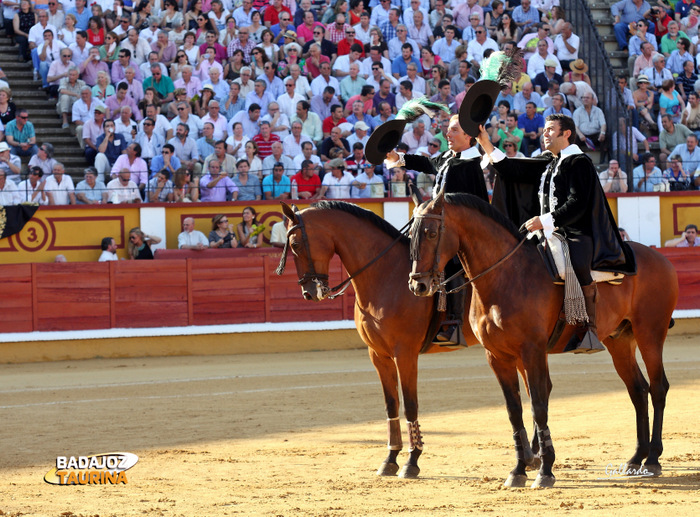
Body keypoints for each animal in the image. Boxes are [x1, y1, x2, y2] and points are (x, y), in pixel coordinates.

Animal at [278, 200, 482, 478]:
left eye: (296, 244)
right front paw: (390, 458)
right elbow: (391, 404)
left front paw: (412, 461)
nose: (309, 293)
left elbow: (410, 404)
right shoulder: (378, 355)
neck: (385, 274)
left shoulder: (405, 353)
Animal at [408, 194, 676, 488]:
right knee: (638, 390)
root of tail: (659, 258)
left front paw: (545, 470)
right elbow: (514, 411)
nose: (418, 286)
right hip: (619, 341)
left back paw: (653, 458)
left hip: (650, 333)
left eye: (432, 233)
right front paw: (518, 469)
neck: (505, 275)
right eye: (411, 235)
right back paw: (636, 458)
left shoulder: (532, 351)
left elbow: (538, 405)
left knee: (658, 387)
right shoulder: (497, 356)